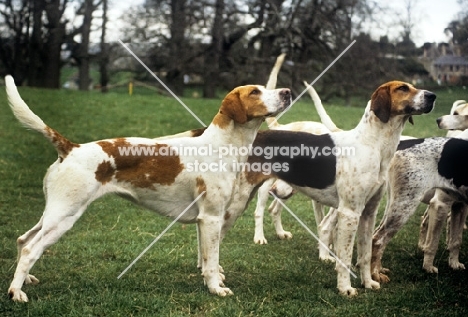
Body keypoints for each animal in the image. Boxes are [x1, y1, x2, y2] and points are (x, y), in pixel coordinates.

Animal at [5, 74, 290, 302]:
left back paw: (25, 280)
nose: (287, 92)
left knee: (23, 240)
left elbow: (206, 257)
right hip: (64, 216)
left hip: (53, 214)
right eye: (255, 92)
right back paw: (16, 292)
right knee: (30, 249)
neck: (221, 145)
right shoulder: (211, 217)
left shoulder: (205, 220)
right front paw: (216, 288)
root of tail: (71, 148)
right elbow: (211, 262)